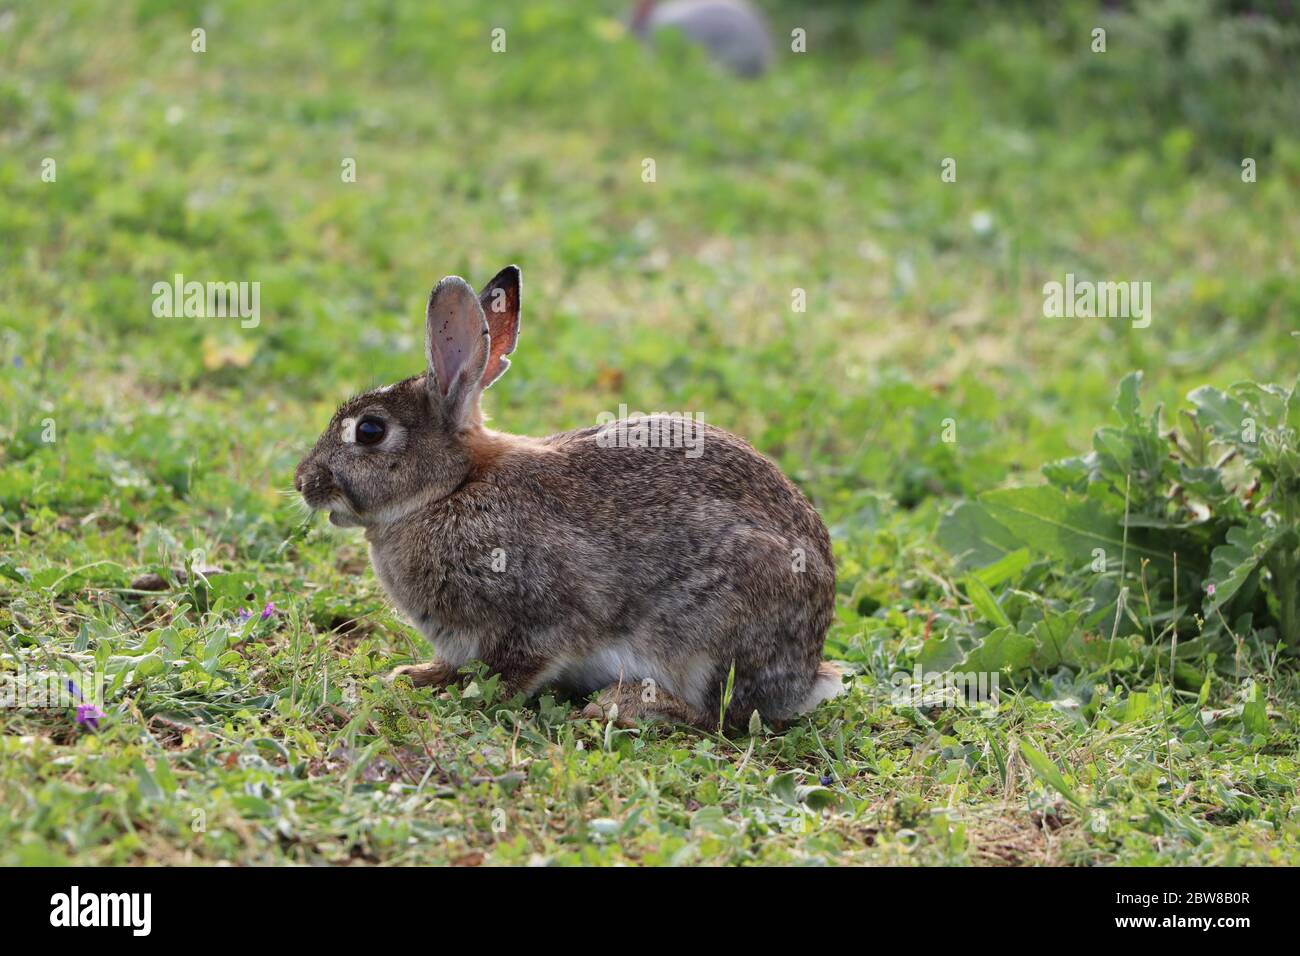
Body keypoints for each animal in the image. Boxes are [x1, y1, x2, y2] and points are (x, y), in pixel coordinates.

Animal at [295, 265, 842, 728]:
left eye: (369, 431)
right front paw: (417, 676)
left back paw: (624, 705)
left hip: (710, 635)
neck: (451, 488)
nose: (303, 482)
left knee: (717, 714)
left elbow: (518, 669)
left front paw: (468, 697)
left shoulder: (536, 618)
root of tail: (805, 675)